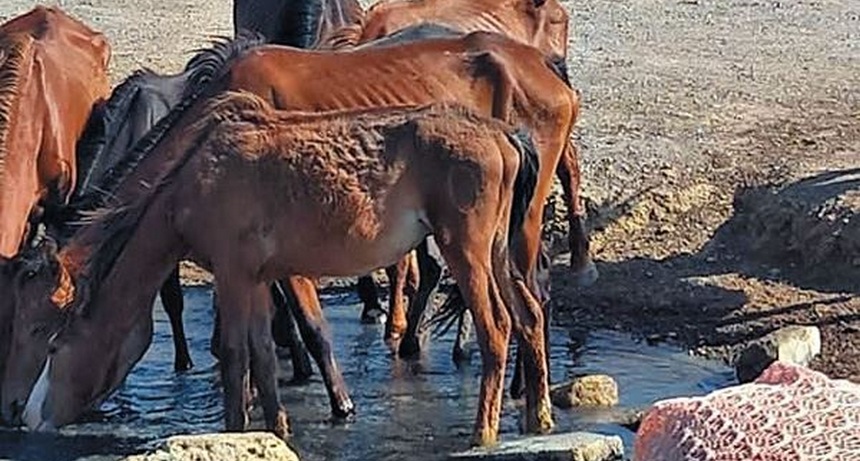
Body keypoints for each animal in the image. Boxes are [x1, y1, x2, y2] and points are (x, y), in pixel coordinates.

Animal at [23, 90, 548, 446]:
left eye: (53, 345)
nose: (28, 417)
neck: (195, 180)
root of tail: (502, 133)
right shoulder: (257, 279)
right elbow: (263, 354)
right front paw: (275, 429)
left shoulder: (232, 276)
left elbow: (235, 355)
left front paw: (234, 429)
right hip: (498, 253)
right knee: (529, 316)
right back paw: (537, 417)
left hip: (467, 252)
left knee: (497, 328)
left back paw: (483, 432)